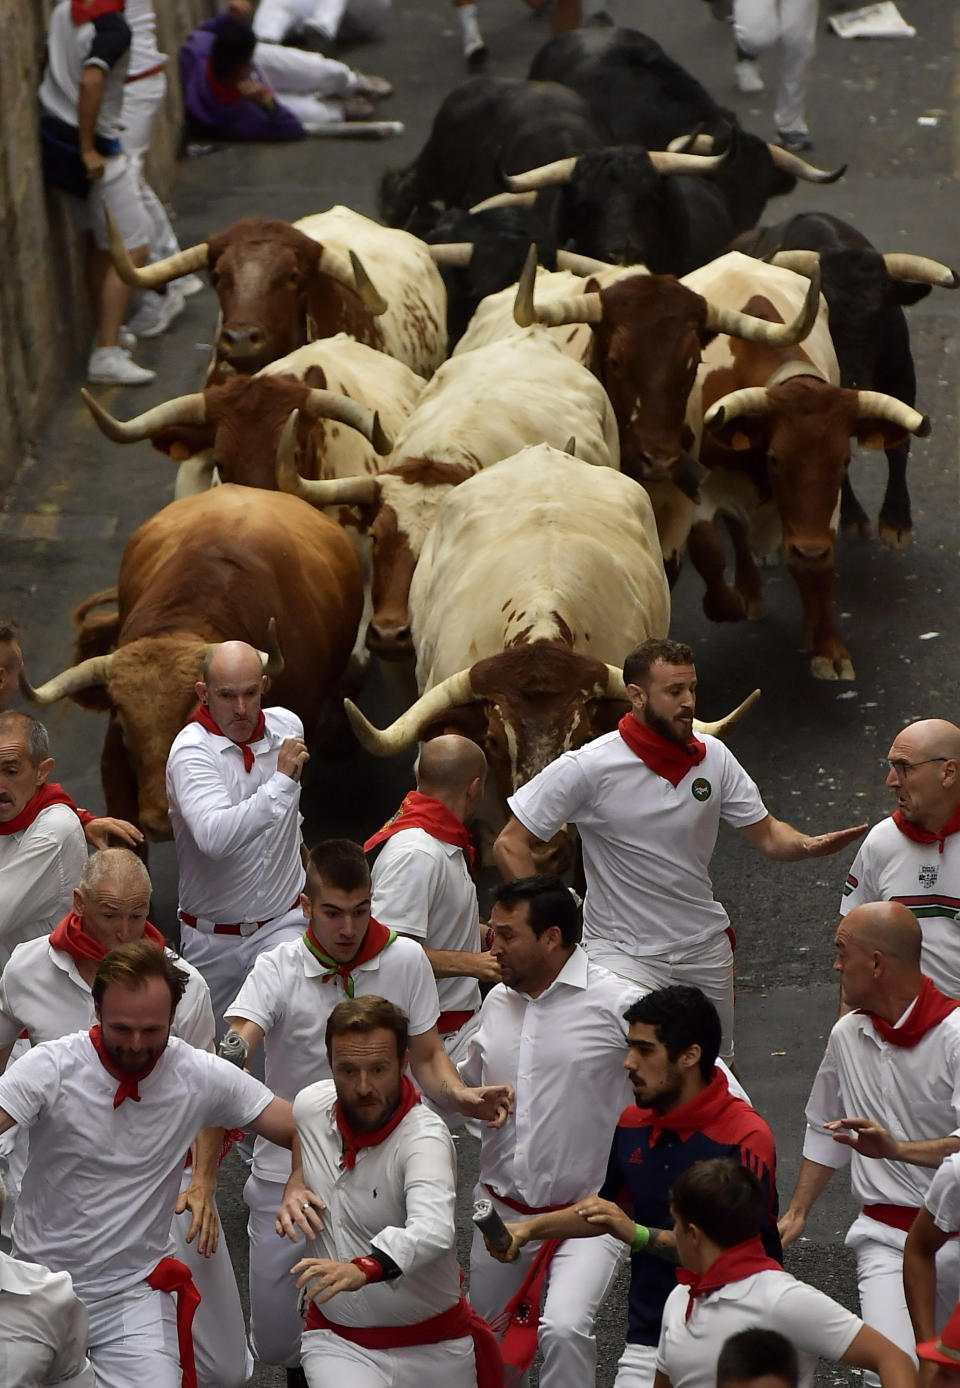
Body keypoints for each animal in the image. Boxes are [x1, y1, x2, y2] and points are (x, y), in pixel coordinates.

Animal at [679, 255, 926, 682]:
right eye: (776, 458)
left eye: (843, 460)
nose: (808, 547)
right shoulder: (701, 488)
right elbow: (708, 549)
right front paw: (727, 603)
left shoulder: (825, 512)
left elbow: (818, 569)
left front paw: (826, 645)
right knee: (735, 531)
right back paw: (749, 591)